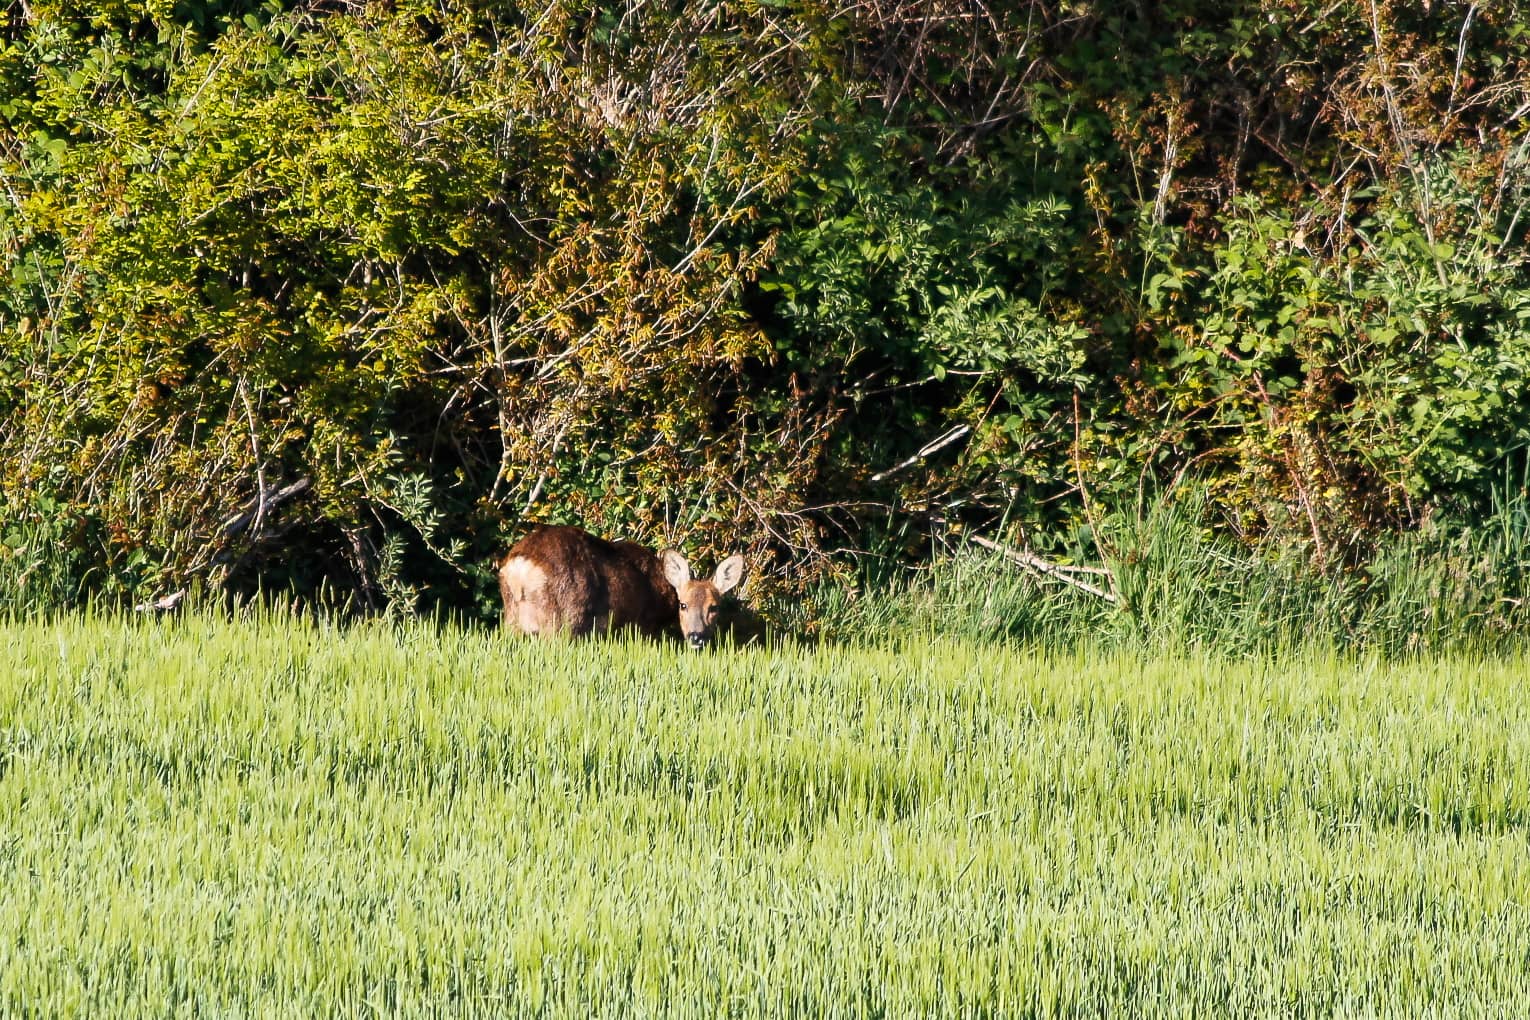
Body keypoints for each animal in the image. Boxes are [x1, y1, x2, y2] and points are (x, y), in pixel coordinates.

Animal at [498, 526, 743, 645]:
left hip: (512, 619)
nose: (696, 636)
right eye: (683, 605)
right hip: (561, 621)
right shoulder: (641, 626)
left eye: (714, 606)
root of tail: (520, 566)